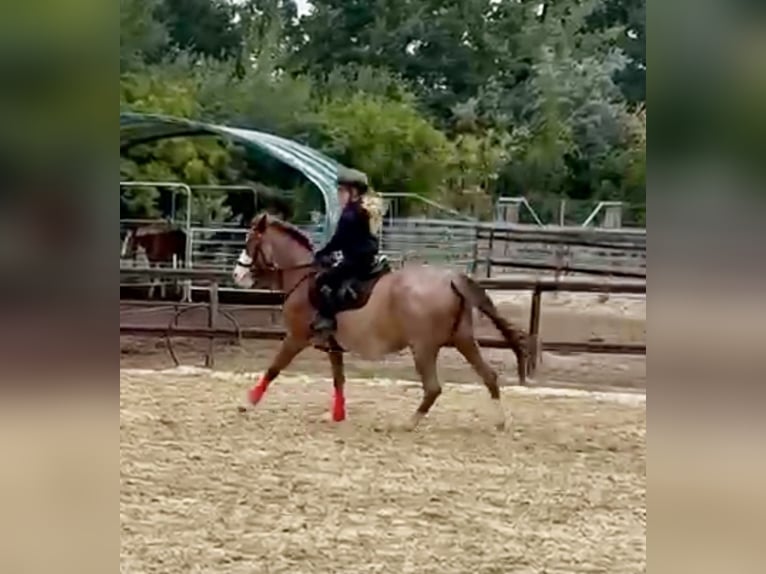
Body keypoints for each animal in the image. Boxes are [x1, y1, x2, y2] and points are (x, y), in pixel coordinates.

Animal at [232, 213, 528, 431]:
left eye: (249, 242)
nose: (237, 275)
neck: (305, 279)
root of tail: (450, 278)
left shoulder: (295, 337)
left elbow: (273, 369)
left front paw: (248, 403)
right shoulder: (333, 345)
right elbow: (339, 380)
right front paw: (336, 415)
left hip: (424, 348)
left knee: (433, 388)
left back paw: (408, 423)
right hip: (463, 340)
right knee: (489, 376)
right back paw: (500, 421)